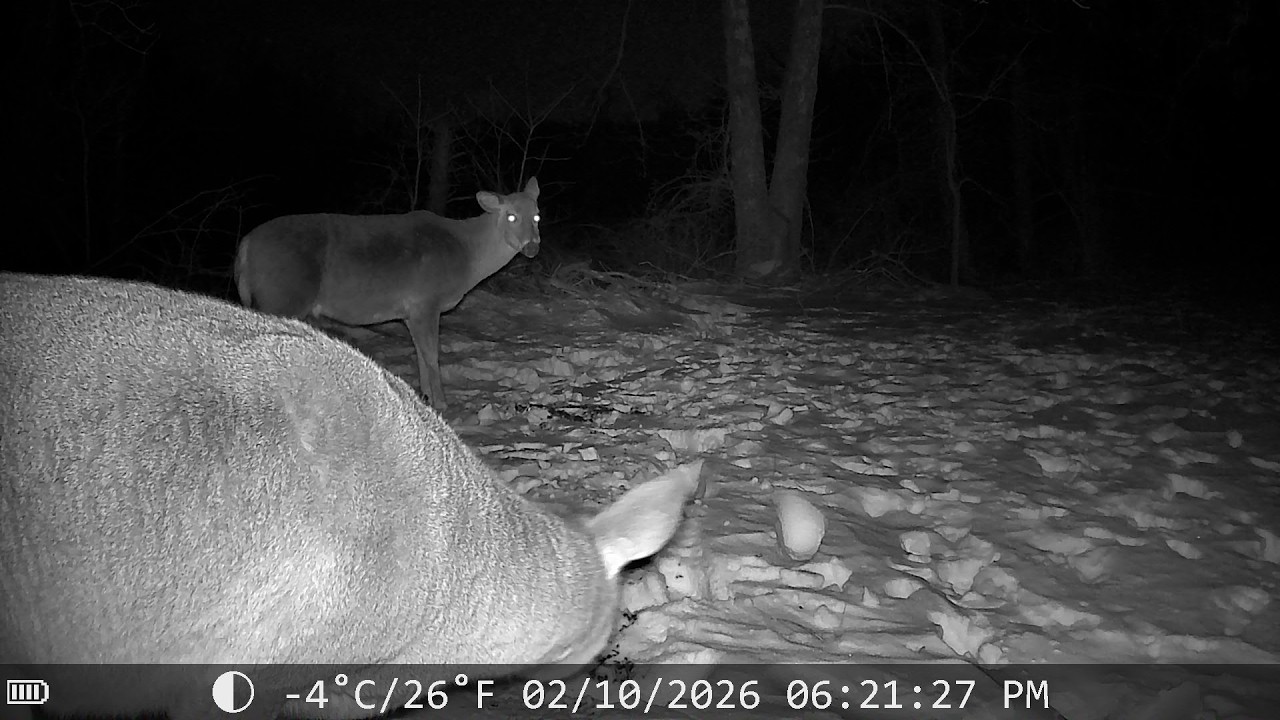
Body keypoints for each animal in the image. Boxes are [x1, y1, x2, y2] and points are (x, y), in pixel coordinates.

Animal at [234, 177, 541, 411]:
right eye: (511, 216)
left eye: (537, 215)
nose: (532, 247)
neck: (468, 256)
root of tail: (244, 247)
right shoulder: (426, 301)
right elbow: (432, 356)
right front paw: (442, 403)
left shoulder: (410, 311)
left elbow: (421, 356)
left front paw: (425, 398)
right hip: (283, 294)